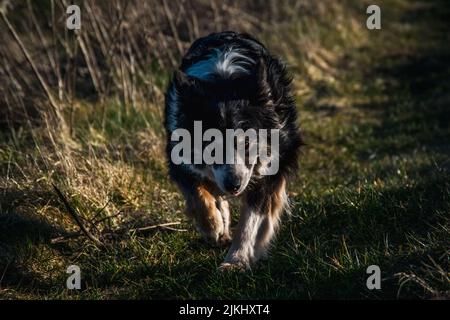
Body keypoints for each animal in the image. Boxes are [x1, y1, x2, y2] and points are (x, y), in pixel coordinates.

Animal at [163, 31, 300, 270]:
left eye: (246, 143)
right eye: (211, 147)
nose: (233, 186)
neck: (222, 82)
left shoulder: (272, 163)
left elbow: (251, 217)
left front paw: (236, 260)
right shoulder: (179, 155)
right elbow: (197, 194)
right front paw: (212, 227)